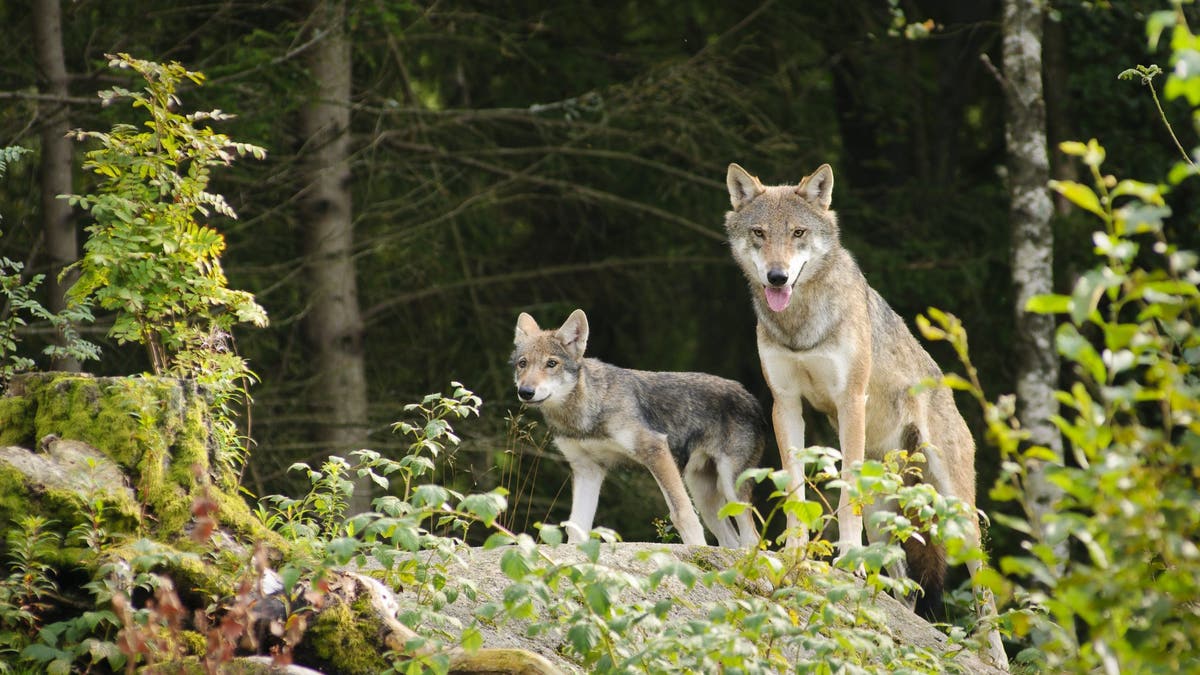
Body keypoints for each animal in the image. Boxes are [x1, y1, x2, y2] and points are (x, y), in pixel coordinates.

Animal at [508, 309, 758, 547]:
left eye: (551, 364)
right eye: (523, 364)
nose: (526, 392)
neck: (585, 415)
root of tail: (749, 396)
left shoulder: (655, 449)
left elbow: (683, 515)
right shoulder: (587, 469)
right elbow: (576, 527)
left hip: (730, 486)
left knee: (751, 537)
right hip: (703, 495)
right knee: (731, 541)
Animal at [724, 163, 1008, 667]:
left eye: (797, 233)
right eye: (759, 233)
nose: (777, 278)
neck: (801, 324)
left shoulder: (849, 400)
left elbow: (844, 493)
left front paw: (845, 557)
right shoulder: (785, 404)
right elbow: (795, 488)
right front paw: (796, 551)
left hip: (955, 511)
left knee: (982, 586)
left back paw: (994, 654)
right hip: (886, 514)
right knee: (906, 587)